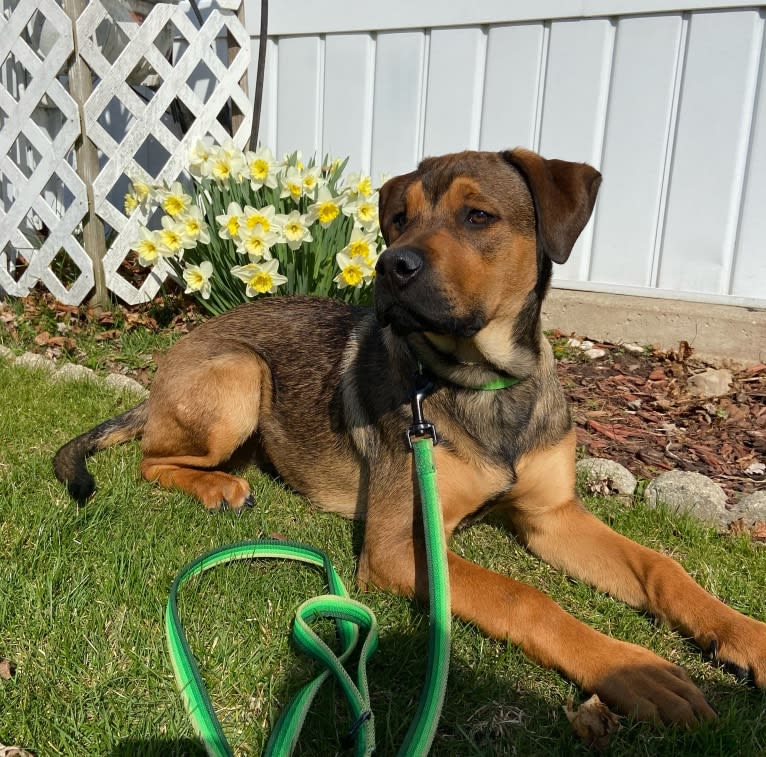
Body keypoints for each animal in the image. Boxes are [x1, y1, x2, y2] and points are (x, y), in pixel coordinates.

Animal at [55, 146, 766, 720]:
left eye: (477, 216)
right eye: (399, 219)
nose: (389, 266)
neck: (485, 384)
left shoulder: (553, 516)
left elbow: (661, 565)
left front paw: (743, 634)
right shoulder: (401, 547)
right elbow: (524, 597)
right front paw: (633, 670)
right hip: (240, 375)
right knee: (151, 458)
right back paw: (217, 488)